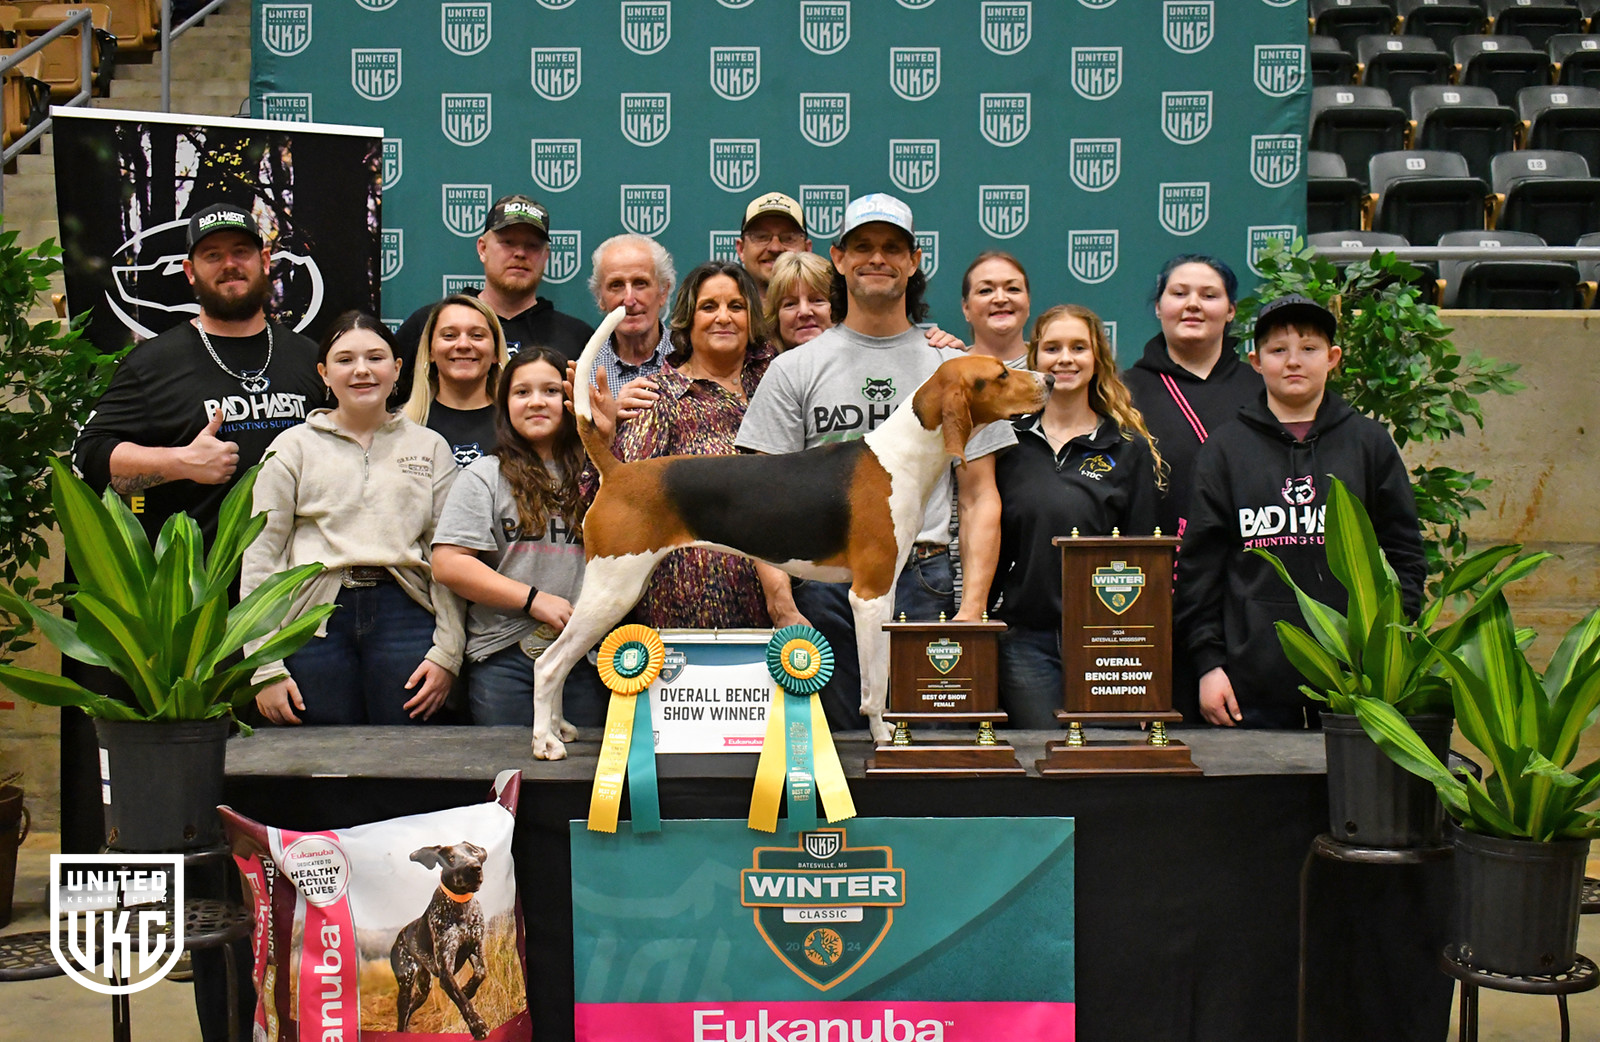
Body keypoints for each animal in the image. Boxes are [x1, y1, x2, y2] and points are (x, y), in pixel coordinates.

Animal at [391, 842, 491, 1039]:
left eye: (473, 852)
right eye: (451, 858)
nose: (474, 867)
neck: (460, 904)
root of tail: (399, 936)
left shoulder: (475, 947)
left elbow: (481, 973)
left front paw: (468, 989)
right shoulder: (446, 972)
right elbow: (463, 1002)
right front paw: (478, 1026)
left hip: (423, 988)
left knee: (410, 1011)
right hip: (406, 984)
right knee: (402, 1015)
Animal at [530, 307, 1052, 759]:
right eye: (1000, 375)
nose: (1047, 379)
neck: (902, 455)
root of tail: (619, 471)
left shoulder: (882, 597)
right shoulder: (869, 595)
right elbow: (874, 682)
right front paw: (884, 736)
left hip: (617, 588)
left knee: (559, 663)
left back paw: (560, 728)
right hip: (612, 590)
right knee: (548, 663)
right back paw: (545, 742)